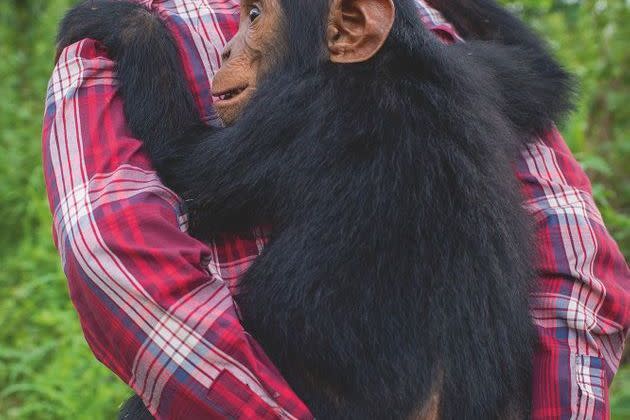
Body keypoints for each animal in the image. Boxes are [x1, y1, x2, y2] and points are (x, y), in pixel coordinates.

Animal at [56, 0, 576, 418]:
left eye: (254, 15)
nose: (226, 52)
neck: (378, 63)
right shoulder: (479, 71)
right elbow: (537, 70)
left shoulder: (293, 114)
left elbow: (185, 165)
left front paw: (123, 22)